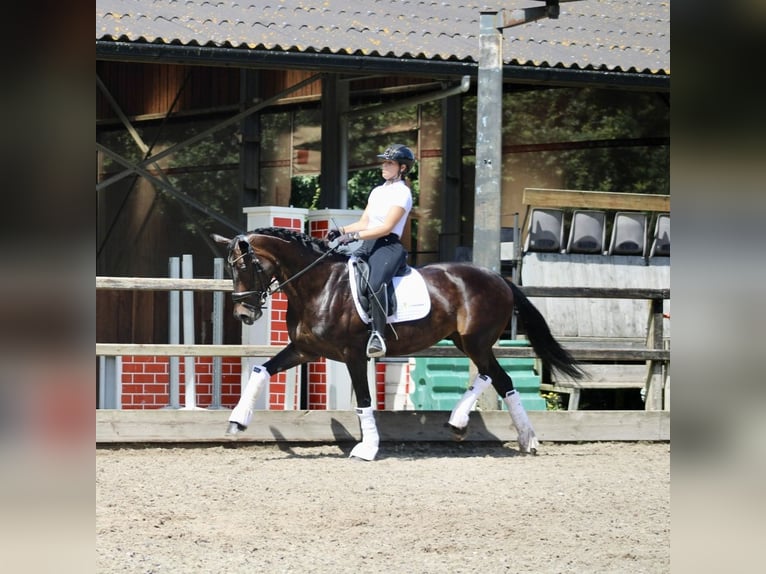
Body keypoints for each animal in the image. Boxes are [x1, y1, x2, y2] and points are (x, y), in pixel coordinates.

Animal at [210, 227, 584, 462]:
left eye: (245, 266)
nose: (244, 314)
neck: (319, 286)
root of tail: (499, 279)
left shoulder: (354, 355)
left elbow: (364, 400)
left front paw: (367, 448)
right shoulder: (306, 350)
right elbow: (260, 370)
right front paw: (236, 422)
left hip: (476, 341)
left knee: (495, 377)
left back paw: (501, 431)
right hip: (465, 340)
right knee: (497, 378)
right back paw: (498, 432)